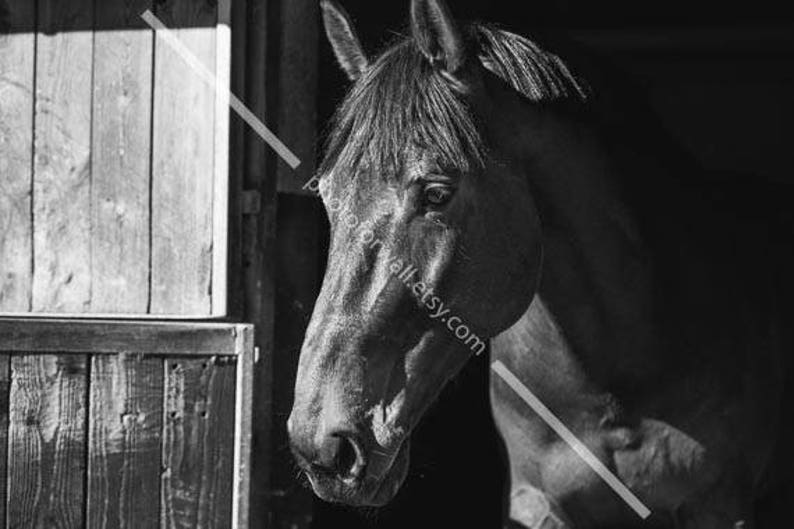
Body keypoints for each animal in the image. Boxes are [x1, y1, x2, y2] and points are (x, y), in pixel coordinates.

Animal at [288, 0, 793, 526]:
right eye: (327, 196)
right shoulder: (536, 504)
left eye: (437, 194)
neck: (614, 378)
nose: (323, 447)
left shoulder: (717, 506)